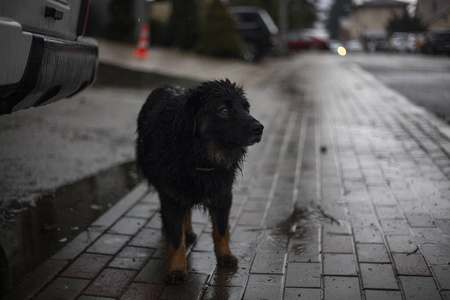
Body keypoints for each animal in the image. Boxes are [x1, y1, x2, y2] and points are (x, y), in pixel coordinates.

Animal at [137, 78, 264, 284]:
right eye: (224, 110)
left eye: (246, 107)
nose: (259, 128)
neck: (201, 156)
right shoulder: (172, 196)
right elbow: (175, 239)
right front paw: (177, 269)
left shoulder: (223, 194)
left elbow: (221, 229)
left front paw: (225, 255)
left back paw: (187, 230)